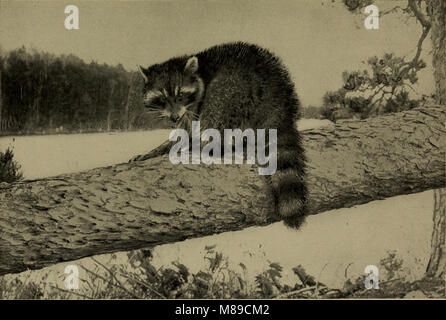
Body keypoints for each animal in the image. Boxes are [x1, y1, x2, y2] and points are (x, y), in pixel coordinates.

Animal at [132, 42, 306, 228]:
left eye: (181, 95)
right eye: (162, 99)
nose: (174, 117)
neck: (199, 72)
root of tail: (278, 96)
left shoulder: (196, 104)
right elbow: (182, 133)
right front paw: (156, 150)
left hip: (234, 90)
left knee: (216, 111)